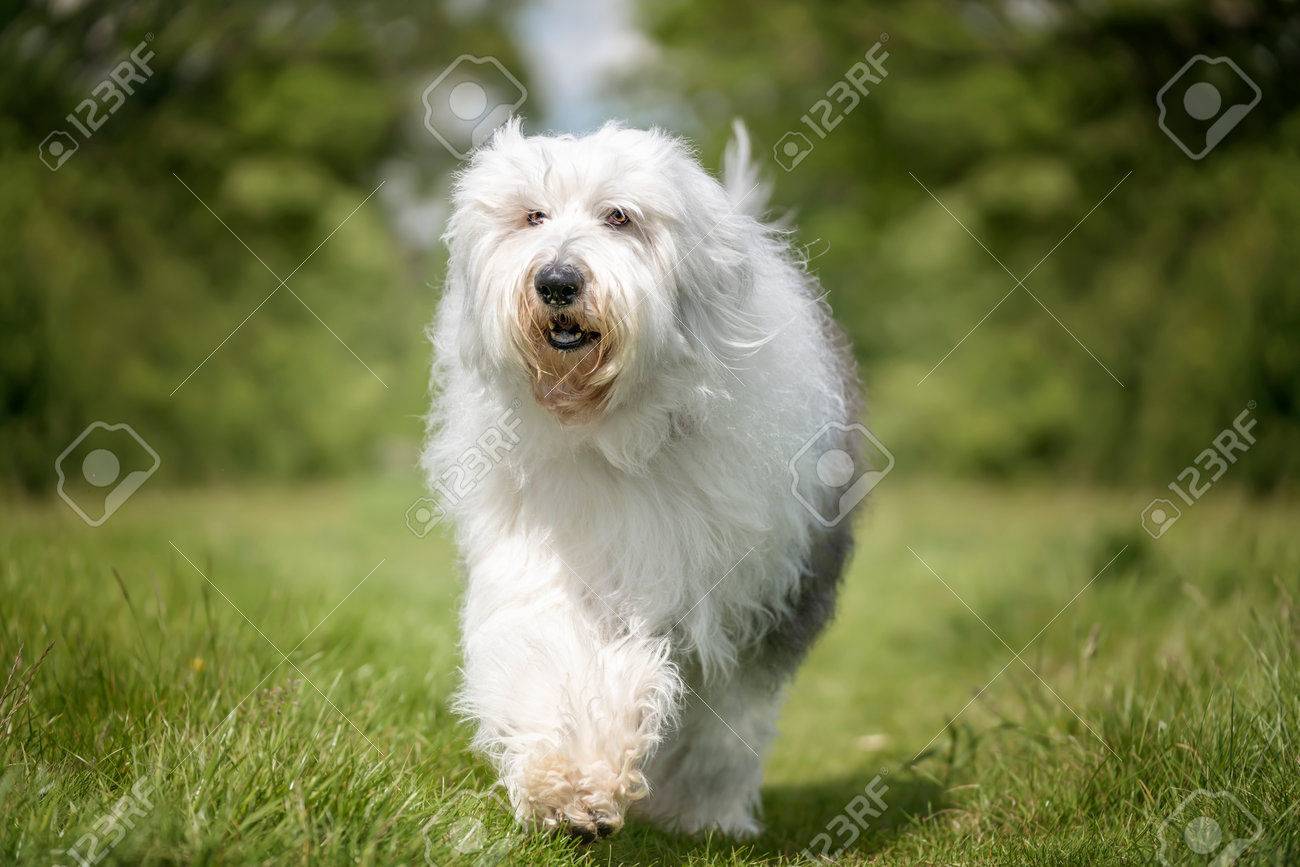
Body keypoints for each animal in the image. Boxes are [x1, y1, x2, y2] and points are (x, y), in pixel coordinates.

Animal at [426, 118, 868, 842]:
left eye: (619, 217)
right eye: (533, 216)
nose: (557, 281)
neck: (615, 433)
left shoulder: (740, 596)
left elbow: (719, 718)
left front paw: (696, 810)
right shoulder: (544, 555)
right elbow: (549, 653)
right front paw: (568, 783)